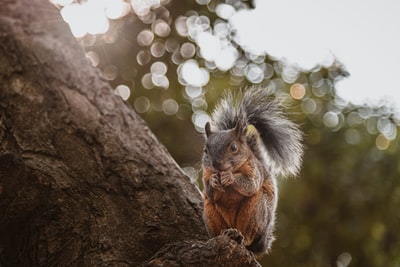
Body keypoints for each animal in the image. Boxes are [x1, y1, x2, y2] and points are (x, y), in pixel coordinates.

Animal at [202, 87, 302, 256]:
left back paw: (242, 237)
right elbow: (209, 192)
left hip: (256, 210)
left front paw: (230, 177)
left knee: (249, 235)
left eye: (233, 147)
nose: (216, 164)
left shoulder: (255, 170)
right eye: (205, 150)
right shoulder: (206, 174)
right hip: (209, 212)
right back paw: (220, 236)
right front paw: (214, 181)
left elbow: (251, 184)